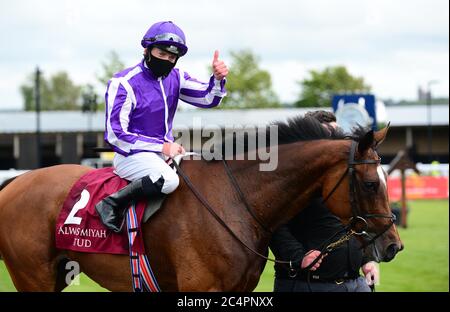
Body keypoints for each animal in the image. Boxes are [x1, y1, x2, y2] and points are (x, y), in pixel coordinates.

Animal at [0, 116, 400, 290]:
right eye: (370, 183)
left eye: (386, 180)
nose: (393, 246)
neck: (235, 199)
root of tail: (14, 183)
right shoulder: (200, 290)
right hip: (33, 277)